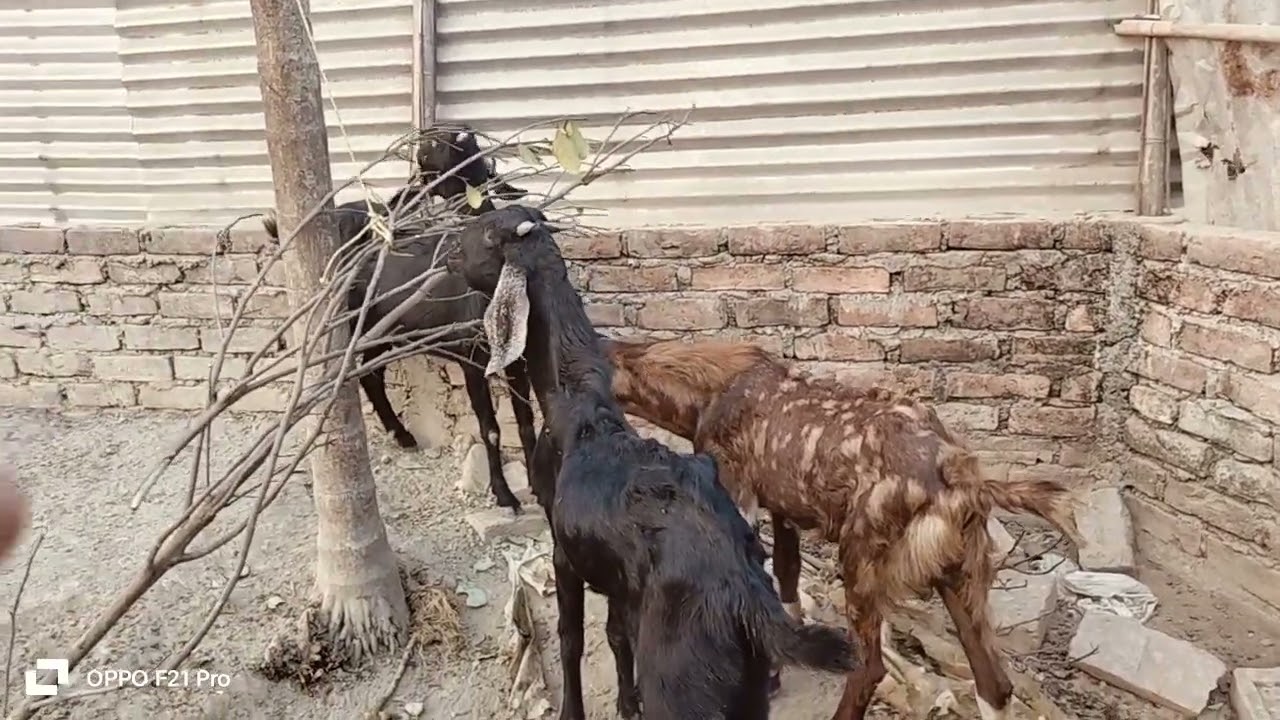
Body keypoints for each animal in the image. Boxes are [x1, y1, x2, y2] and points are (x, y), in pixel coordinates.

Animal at [260, 127, 537, 510]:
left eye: (483, 170)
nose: (445, 134)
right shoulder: (470, 358)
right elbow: (491, 429)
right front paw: (504, 494)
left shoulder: (517, 361)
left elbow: (526, 421)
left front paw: (540, 486)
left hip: (383, 328)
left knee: (371, 375)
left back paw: (402, 434)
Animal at [445, 206, 859, 720]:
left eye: (488, 234)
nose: (448, 252)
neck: (577, 407)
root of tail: (744, 597)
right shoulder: (619, 578)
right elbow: (615, 636)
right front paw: (627, 703)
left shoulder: (563, 550)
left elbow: (570, 637)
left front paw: (574, 710)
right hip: (747, 690)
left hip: (680, 685)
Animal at [602, 337, 1082, 720]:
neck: (708, 392)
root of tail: (963, 481)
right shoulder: (784, 509)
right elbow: (787, 577)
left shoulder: (740, 497)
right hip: (961, 574)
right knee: (994, 684)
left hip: (862, 564)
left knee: (869, 667)